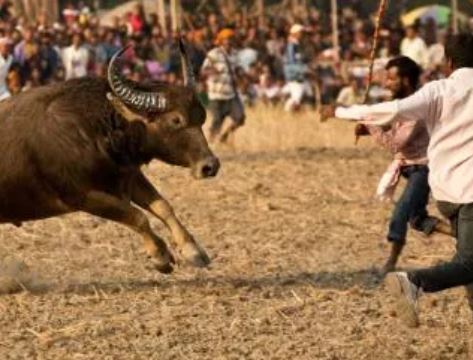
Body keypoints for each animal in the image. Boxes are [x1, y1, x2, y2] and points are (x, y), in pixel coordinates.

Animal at [0, 39, 219, 272]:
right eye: (176, 120)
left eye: (202, 117)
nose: (210, 165)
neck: (93, 129)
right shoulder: (82, 197)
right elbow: (136, 216)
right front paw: (160, 256)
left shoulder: (129, 176)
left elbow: (163, 206)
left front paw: (193, 251)